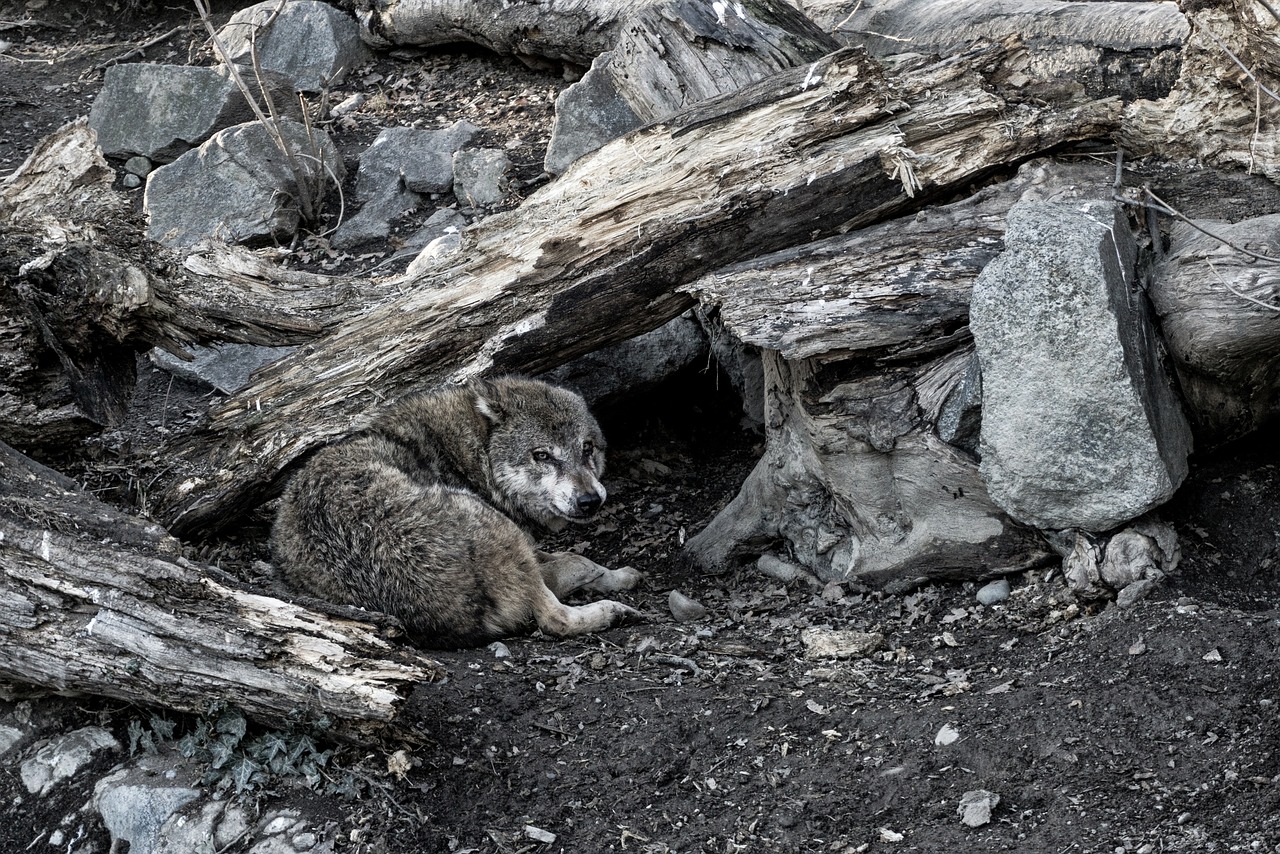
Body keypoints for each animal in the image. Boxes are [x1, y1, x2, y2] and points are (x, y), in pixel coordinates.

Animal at [273, 376, 645, 647]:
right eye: (542, 455)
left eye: (587, 448)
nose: (590, 500)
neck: (467, 457)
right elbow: (578, 562)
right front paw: (617, 579)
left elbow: (573, 559)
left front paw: (618, 575)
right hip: (490, 520)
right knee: (555, 620)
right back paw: (616, 613)